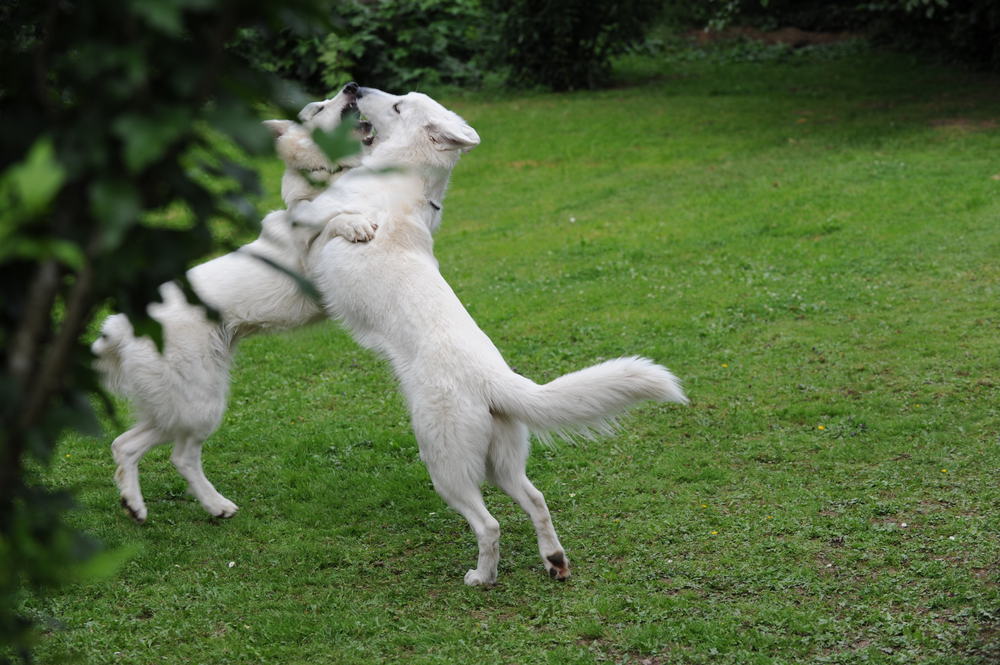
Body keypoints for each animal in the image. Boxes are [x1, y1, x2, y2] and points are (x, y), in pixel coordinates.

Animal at [92, 83, 376, 520]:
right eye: (317, 108)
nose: (352, 86)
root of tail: (122, 324)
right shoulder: (312, 264)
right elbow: (329, 220)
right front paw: (352, 222)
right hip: (200, 402)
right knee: (180, 456)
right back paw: (215, 505)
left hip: (180, 404)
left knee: (125, 444)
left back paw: (137, 505)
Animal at [292, 88, 692, 588]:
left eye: (400, 104)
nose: (354, 87)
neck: (406, 174)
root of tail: (495, 381)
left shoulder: (314, 232)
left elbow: (316, 215)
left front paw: (350, 222)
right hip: (500, 464)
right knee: (536, 499)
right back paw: (554, 560)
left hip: (444, 465)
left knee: (490, 524)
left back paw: (482, 577)